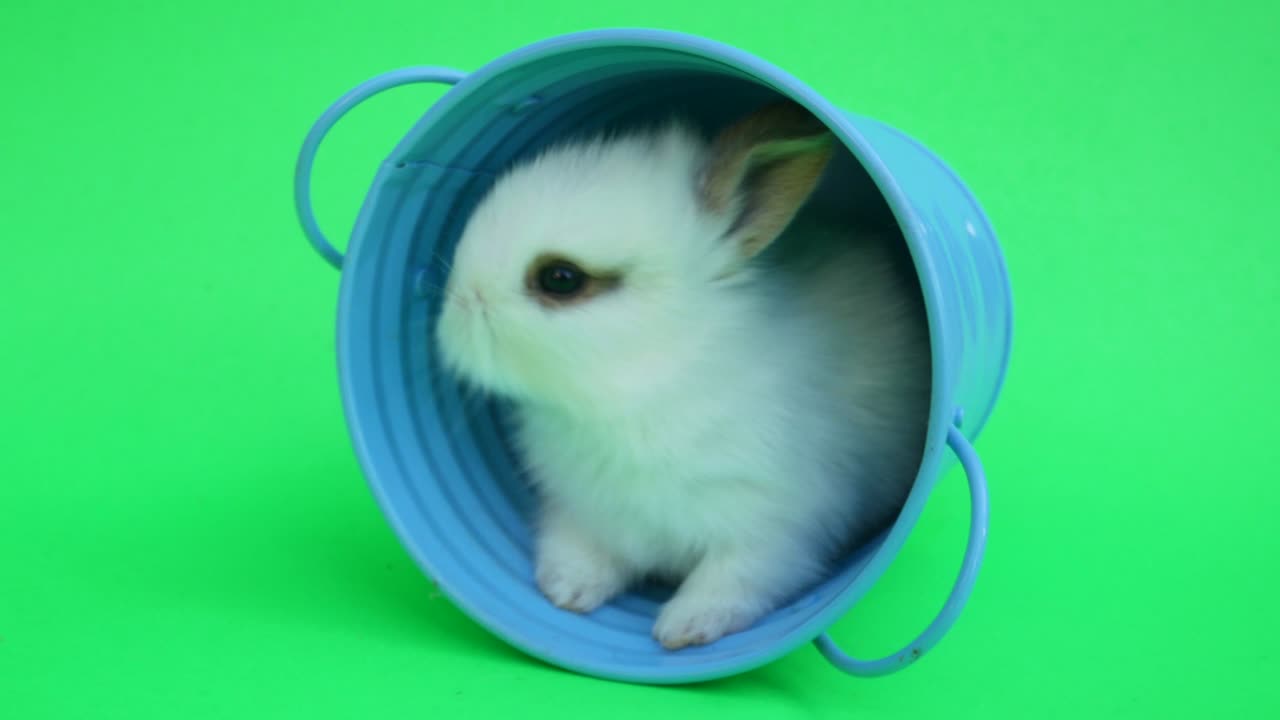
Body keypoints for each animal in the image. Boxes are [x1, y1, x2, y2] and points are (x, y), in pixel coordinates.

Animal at [434, 101, 931, 650]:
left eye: (560, 279)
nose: (454, 310)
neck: (654, 378)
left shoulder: (778, 524)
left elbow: (733, 579)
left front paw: (682, 631)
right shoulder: (582, 506)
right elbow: (580, 549)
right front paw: (565, 593)